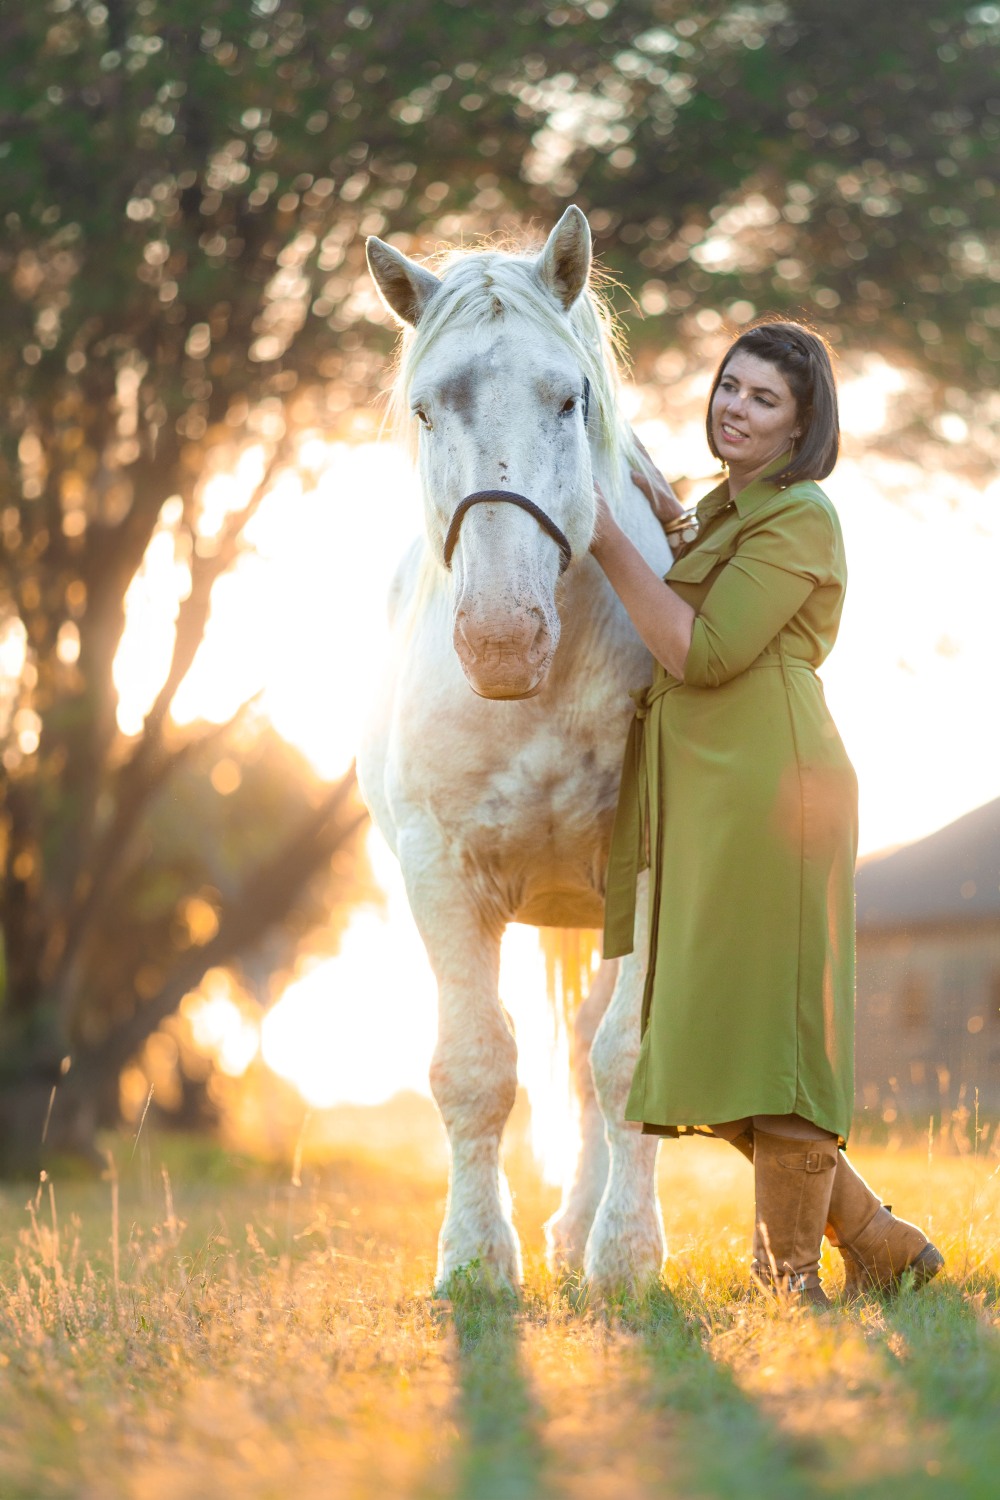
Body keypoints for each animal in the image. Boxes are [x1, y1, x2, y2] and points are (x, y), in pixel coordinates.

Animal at [360, 206, 673, 1291]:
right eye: (424, 410)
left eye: (568, 397)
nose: (502, 639)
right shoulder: (438, 870)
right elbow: (474, 1068)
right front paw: (473, 1261)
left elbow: (624, 1060)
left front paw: (625, 1255)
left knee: (588, 1055)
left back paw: (582, 1230)